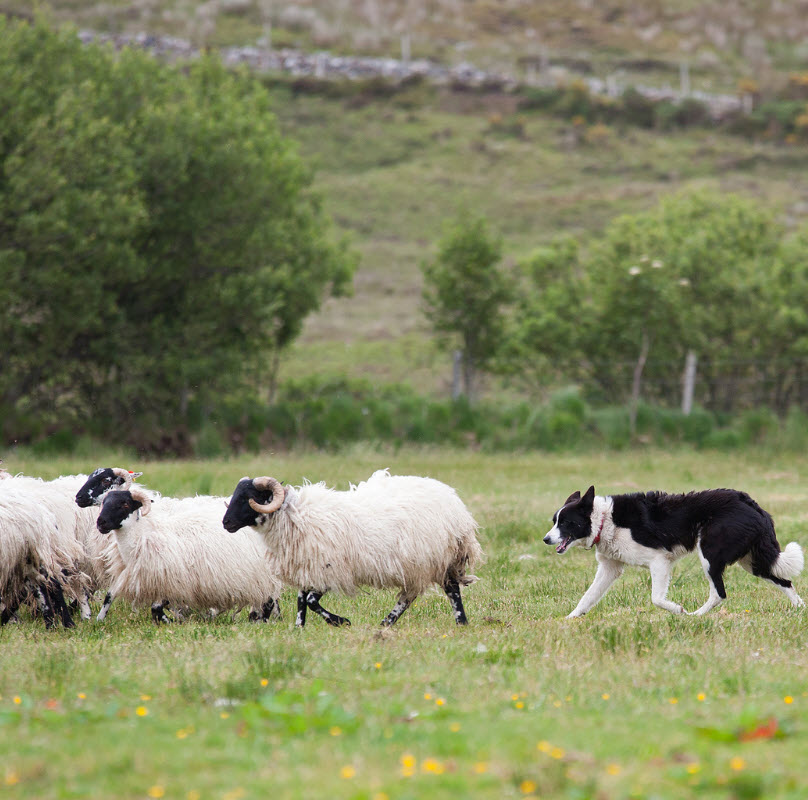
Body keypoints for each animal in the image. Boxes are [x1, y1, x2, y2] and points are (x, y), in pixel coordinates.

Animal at [95, 488, 283, 621]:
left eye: (125, 504)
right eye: (104, 502)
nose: (100, 523)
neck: (143, 535)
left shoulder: (171, 581)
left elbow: (157, 609)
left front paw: (174, 622)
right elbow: (110, 596)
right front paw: (99, 618)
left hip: (262, 574)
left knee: (269, 599)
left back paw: (262, 619)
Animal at [221, 469, 483, 628]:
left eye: (247, 498)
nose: (225, 523)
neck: (295, 516)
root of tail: (454, 502)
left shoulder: (330, 570)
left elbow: (311, 601)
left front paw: (340, 621)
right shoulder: (309, 565)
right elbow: (301, 600)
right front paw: (299, 627)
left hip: (433, 558)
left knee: (447, 590)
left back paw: (458, 622)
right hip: (424, 563)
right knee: (416, 594)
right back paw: (387, 623)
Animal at [544, 485, 805, 617]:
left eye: (566, 523)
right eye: (554, 521)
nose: (546, 539)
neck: (604, 520)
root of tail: (750, 504)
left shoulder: (659, 560)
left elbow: (657, 598)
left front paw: (677, 610)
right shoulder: (610, 568)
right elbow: (587, 597)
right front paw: (569, 620)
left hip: (710, 555)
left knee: (719, 594)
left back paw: (695, 616)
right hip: (752, 561)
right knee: (785, 581)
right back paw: (801, 609)